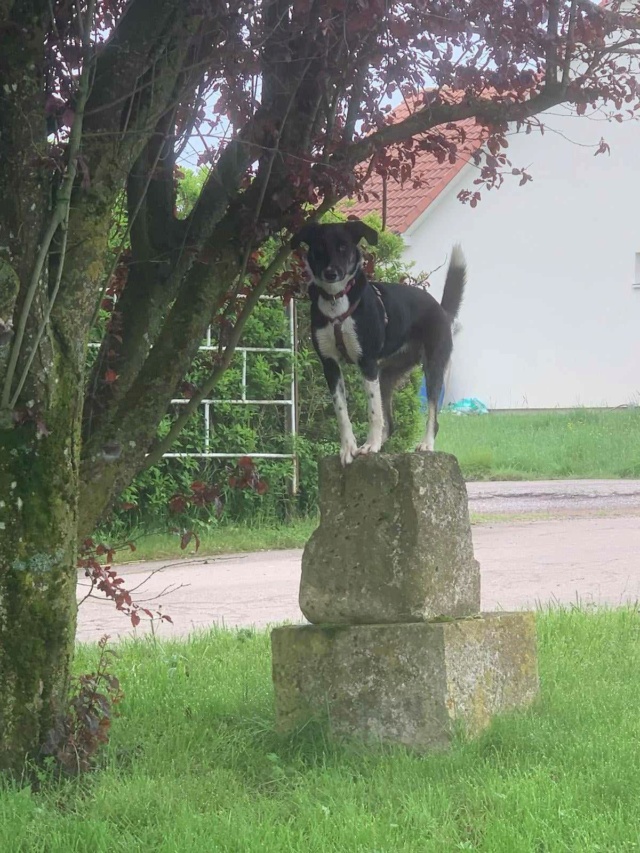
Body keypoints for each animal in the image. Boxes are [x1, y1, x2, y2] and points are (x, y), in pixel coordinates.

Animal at [292, 216, 468, 462]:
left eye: (343, 247)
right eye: (319, 248)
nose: (331, 273)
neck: (337, 302)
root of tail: (442, 310)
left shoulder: (367, 363)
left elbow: (373, 412)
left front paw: (370, 445)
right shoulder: (330, 365)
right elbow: (342, 413)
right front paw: (349, 448)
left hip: (432, 366)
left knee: (432, 413)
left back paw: (424, 443)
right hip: (386, 374)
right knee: (390, 423)